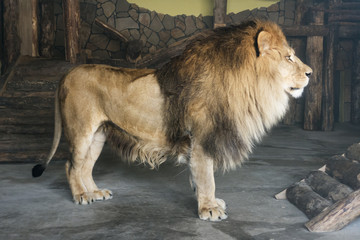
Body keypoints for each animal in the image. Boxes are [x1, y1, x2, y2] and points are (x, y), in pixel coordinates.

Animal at [33, 20, 312, 221]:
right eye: (289, 57)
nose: (311, 73)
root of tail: (68, 73)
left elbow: (199, 178)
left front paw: (209, 203)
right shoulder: (201, 138)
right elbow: (207, 177)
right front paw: (209, 210)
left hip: (99, 133)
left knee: (85, 167)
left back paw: (94, 192)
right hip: (81, 130)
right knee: (71, 166)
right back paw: (81, 195)